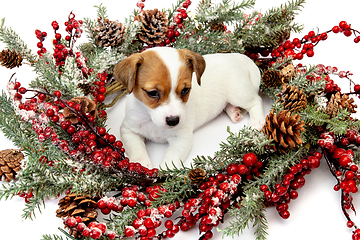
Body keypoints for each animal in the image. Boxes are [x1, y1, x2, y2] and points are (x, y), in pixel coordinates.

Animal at [115, 47, 264, 169]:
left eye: (185, 90)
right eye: (152, 93)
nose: (173, 121)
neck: (152, 121)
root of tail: (235, 56)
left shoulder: (181, 139)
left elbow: (170, 158)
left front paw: (164, 173)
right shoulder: (128, 130)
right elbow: (136, 148)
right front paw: (140, 164)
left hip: (238, 93)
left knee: (255, 101)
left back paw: (256, 121)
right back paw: (234, 112)